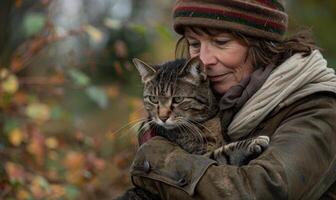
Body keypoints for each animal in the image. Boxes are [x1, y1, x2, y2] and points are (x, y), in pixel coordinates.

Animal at [117, 57, 270, 199]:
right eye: (153, 99)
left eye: (178, 99)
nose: (162, 117)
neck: (206, 121)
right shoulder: (200, 156)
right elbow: (221, 154)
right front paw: (251, 143)